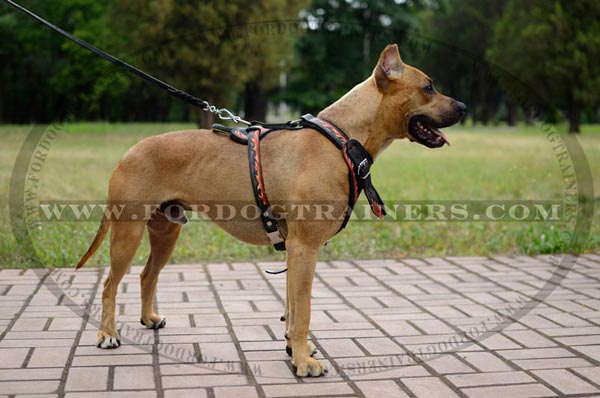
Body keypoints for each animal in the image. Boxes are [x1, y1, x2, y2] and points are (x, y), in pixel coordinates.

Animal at [75, 44, 466, 376]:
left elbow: (292, 309)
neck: (342, 139)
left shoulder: (296, 251)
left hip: (166, 231)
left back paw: (148, 318)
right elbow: (303, 310)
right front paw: (304, 362)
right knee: (109, 284)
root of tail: (129, 151)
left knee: (146, 275)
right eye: (429, 87)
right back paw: (107, 335)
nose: (463, 107)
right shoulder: (305, 249)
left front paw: (295, 350)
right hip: (127, 232)